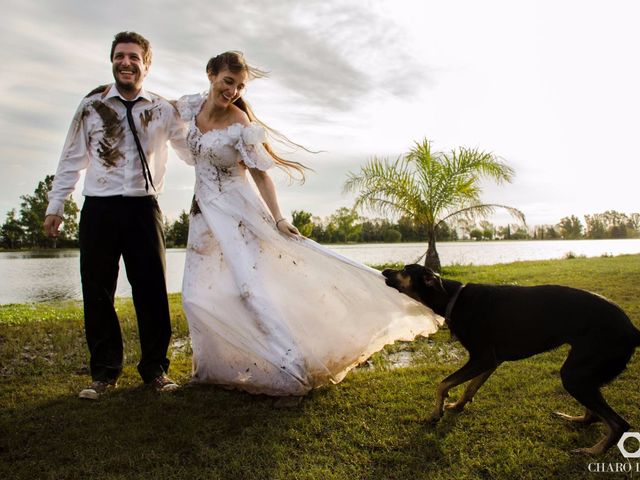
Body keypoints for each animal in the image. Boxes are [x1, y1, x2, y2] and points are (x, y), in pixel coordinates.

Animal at [382, 262, 636, 454]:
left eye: (405, 270)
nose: (384, 271)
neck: (453, 297)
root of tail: (634, 331)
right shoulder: (491, 361)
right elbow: (470, 387)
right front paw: (457, 406)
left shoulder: (482, 358)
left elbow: (443, 384)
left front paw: (437, 412)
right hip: (583, 376)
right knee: (595, 414)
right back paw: (576, 420)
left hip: (574, 375)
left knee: (618, 424)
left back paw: (592, 451)